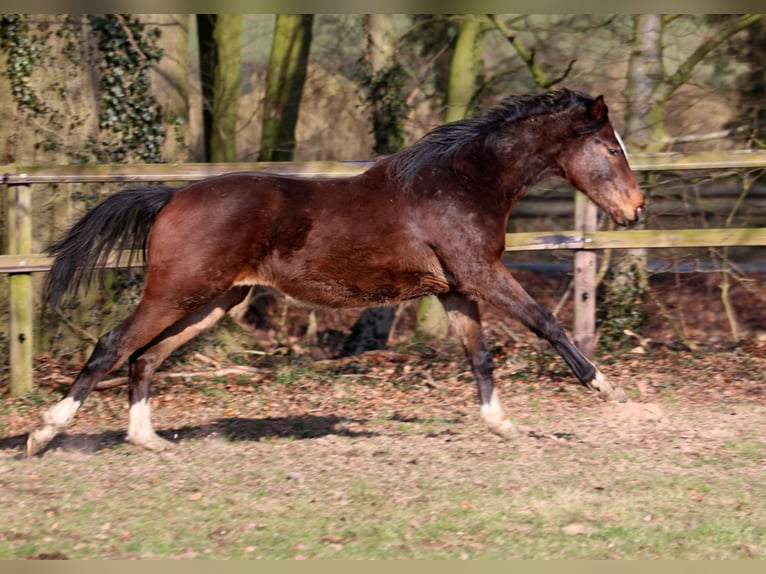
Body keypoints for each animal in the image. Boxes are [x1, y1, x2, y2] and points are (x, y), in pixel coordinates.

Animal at [25, 89, 648, 460]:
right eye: (612, 149)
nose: (637, 210)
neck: (462, 183)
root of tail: (172, 197)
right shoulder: (482, 275)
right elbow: (547, 323)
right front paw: (613, 393)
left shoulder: (456, 290)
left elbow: (480, 357)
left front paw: (502, 426)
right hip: (177, 291)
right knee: (113, 345)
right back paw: (43, 433)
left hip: (216, 301)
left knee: (146, 356)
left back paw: (147, 438)